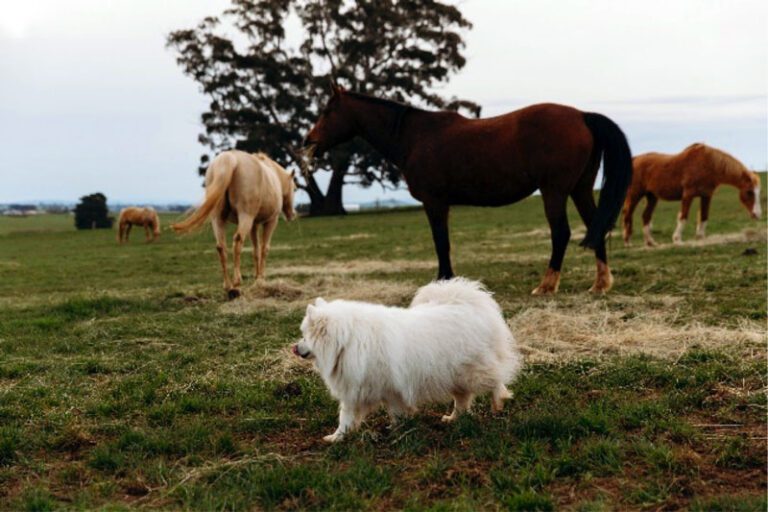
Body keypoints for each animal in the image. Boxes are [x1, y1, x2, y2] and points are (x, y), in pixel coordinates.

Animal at [172, 150, 296, 298]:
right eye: (294, 188)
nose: (292, 214)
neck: (274, 174)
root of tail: (229, 159)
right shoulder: (270, 221)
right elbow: (264, 249)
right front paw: (261, 279)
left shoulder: (254, 225)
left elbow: (256, 251)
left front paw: (257, 278)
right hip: (245, 217)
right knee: (237, 241)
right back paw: (236, 284)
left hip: (218, 219)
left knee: (221, 246)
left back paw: (228, 286)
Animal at [292, 278, 520, 442]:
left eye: (304, 336)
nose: (294, 347)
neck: (347, 342)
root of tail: (468, 304)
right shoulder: (354, 390)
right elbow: (346, 418)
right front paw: (336, 437)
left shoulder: (391, 389)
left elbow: (396, 412)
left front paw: (396, 429)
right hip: (454, 375)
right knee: (462, 399)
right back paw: (454, 418)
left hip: (473, 371)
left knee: (495, 381)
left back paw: (497, 402)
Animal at [304, 85, 632, 294]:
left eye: (328, 110)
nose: (309, 141)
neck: (415, 136)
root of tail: (582, 115)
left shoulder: (434, 202)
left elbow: (441, 243)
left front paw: (444, 280)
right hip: (580, 189)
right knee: (595, 226)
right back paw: (600, 284)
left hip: (555, 191)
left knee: (561, 233)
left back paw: (547, 285)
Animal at [624, 142, 760, 246]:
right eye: (749, 192)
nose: (757, 215)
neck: (708, 164)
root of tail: (635, 159)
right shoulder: (688, 195)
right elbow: (683, 216)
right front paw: (677, 240)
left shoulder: (706, 196)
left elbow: (704, 217)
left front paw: (700, 237)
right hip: (635, 194)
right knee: (628, 214)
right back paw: (627, 242)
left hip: (652, 196)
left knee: (645, 216)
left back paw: (651, 242)